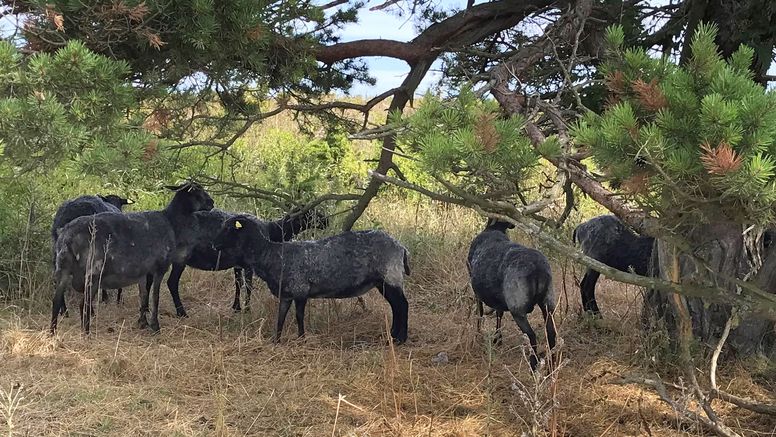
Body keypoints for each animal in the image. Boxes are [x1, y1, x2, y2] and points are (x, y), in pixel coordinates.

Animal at [50, 181, 214, 334]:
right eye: (196, 191)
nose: (212, 203)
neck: (171, 222)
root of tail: (66, 235)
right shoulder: (159, 268)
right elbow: (155, 297)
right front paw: (155, 326)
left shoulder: (142, 272)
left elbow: (143, 295)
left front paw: (142, 322)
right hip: (93, 270)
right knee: (83, 303)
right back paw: (86, 333)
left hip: (63, 266)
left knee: (56, 299)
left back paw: (53, 332)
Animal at [209, 215, 410, 344]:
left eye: (229, 228)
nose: (213, 244)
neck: (271, 254)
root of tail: (401, 247)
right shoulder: (286, 294)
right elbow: (281, 316)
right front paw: (276, 340)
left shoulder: (300, 289)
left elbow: (299, 316)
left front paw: (302, 338)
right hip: (382, 282)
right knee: (396, 306)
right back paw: (392, 335)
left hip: (391, 277)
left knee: (402, 305)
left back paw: (400, 339)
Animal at [466, 220, 556, 370]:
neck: (493, 229)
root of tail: (538, 270)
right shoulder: (498, 300)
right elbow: (499, 314)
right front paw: (497, 339)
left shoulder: (477, 292)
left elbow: (480, 312)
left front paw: (479, 335)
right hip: (548, 302)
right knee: (551, 332)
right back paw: (552, 363)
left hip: (517, 308)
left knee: (531, 335)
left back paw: (533, 364)